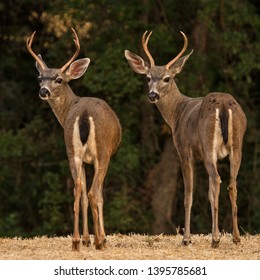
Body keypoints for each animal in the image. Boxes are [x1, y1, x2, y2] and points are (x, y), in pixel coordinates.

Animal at [25, 29, 121, 252]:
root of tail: (84, 114)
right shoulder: (98, 158)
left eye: (58, 79)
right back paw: (99, 241)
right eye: (40, 77)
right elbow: (99, 196)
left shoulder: (83, 159)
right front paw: (101, 238)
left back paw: (77, 241)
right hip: (102, 152)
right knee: (94, 193)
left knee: (78, 189)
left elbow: (83, 193)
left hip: (71, 150)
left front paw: (86, 239)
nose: (43, 91)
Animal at [125, 30, 247, 247]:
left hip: (208, 145)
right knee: (232, 184)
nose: (152, 95)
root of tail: (224, 104)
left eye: (167, 78)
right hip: (237, 145)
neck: (176, 112)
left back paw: (215, 239)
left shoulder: (184, 151)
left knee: (216, 180)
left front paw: (186, 238)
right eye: (148, 77)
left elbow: (188, 195)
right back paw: (235, 237)